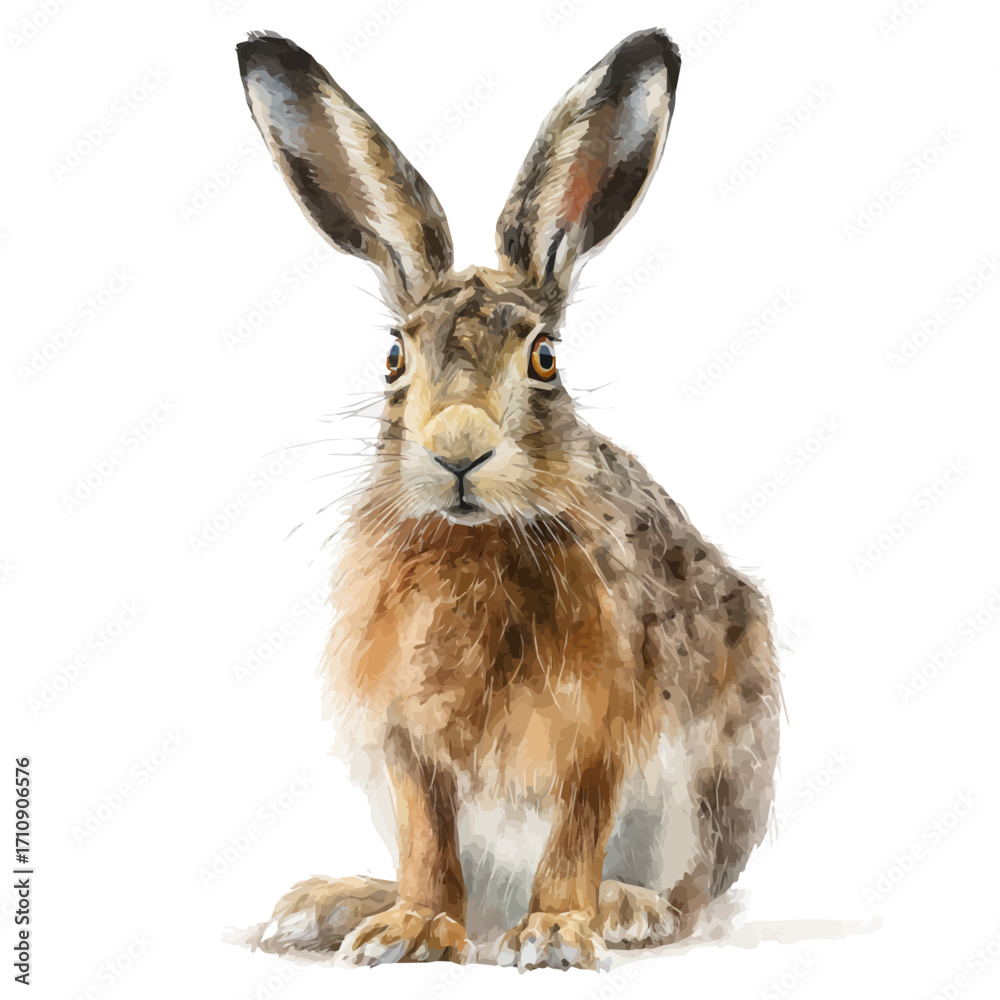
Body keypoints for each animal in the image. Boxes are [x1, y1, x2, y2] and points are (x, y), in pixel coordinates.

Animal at [237, 27, 781, 972]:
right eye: (394, 356)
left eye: (546, 359)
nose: (458, 449)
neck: (478, 541)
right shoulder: (405, 746)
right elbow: (427, 838)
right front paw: (412, 930)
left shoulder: (597, 737)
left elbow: (575, 832)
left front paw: (559, 933)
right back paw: (331, 905)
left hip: (708, 790)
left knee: (688, 896)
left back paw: (623, 907)